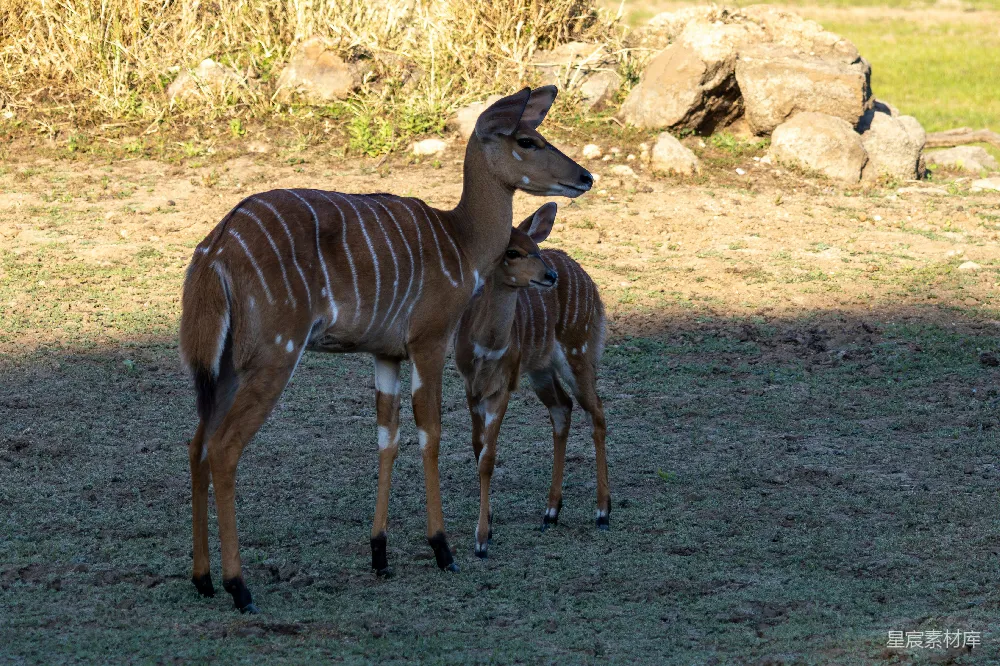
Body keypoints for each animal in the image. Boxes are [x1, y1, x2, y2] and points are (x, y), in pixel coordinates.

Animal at [454, 202, 609, 559]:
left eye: (535, 250)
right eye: (512, 251)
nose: (549, 276)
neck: (486, 344)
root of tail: (587, 280)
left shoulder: (503, 385)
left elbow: (488, 457)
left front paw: (482, 540)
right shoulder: (470, 386)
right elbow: (477, 447)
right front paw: (489, 522)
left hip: (577, 351)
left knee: (596, 412)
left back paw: (603, 512)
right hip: (541, 369)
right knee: (562, 408)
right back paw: (550, 512)